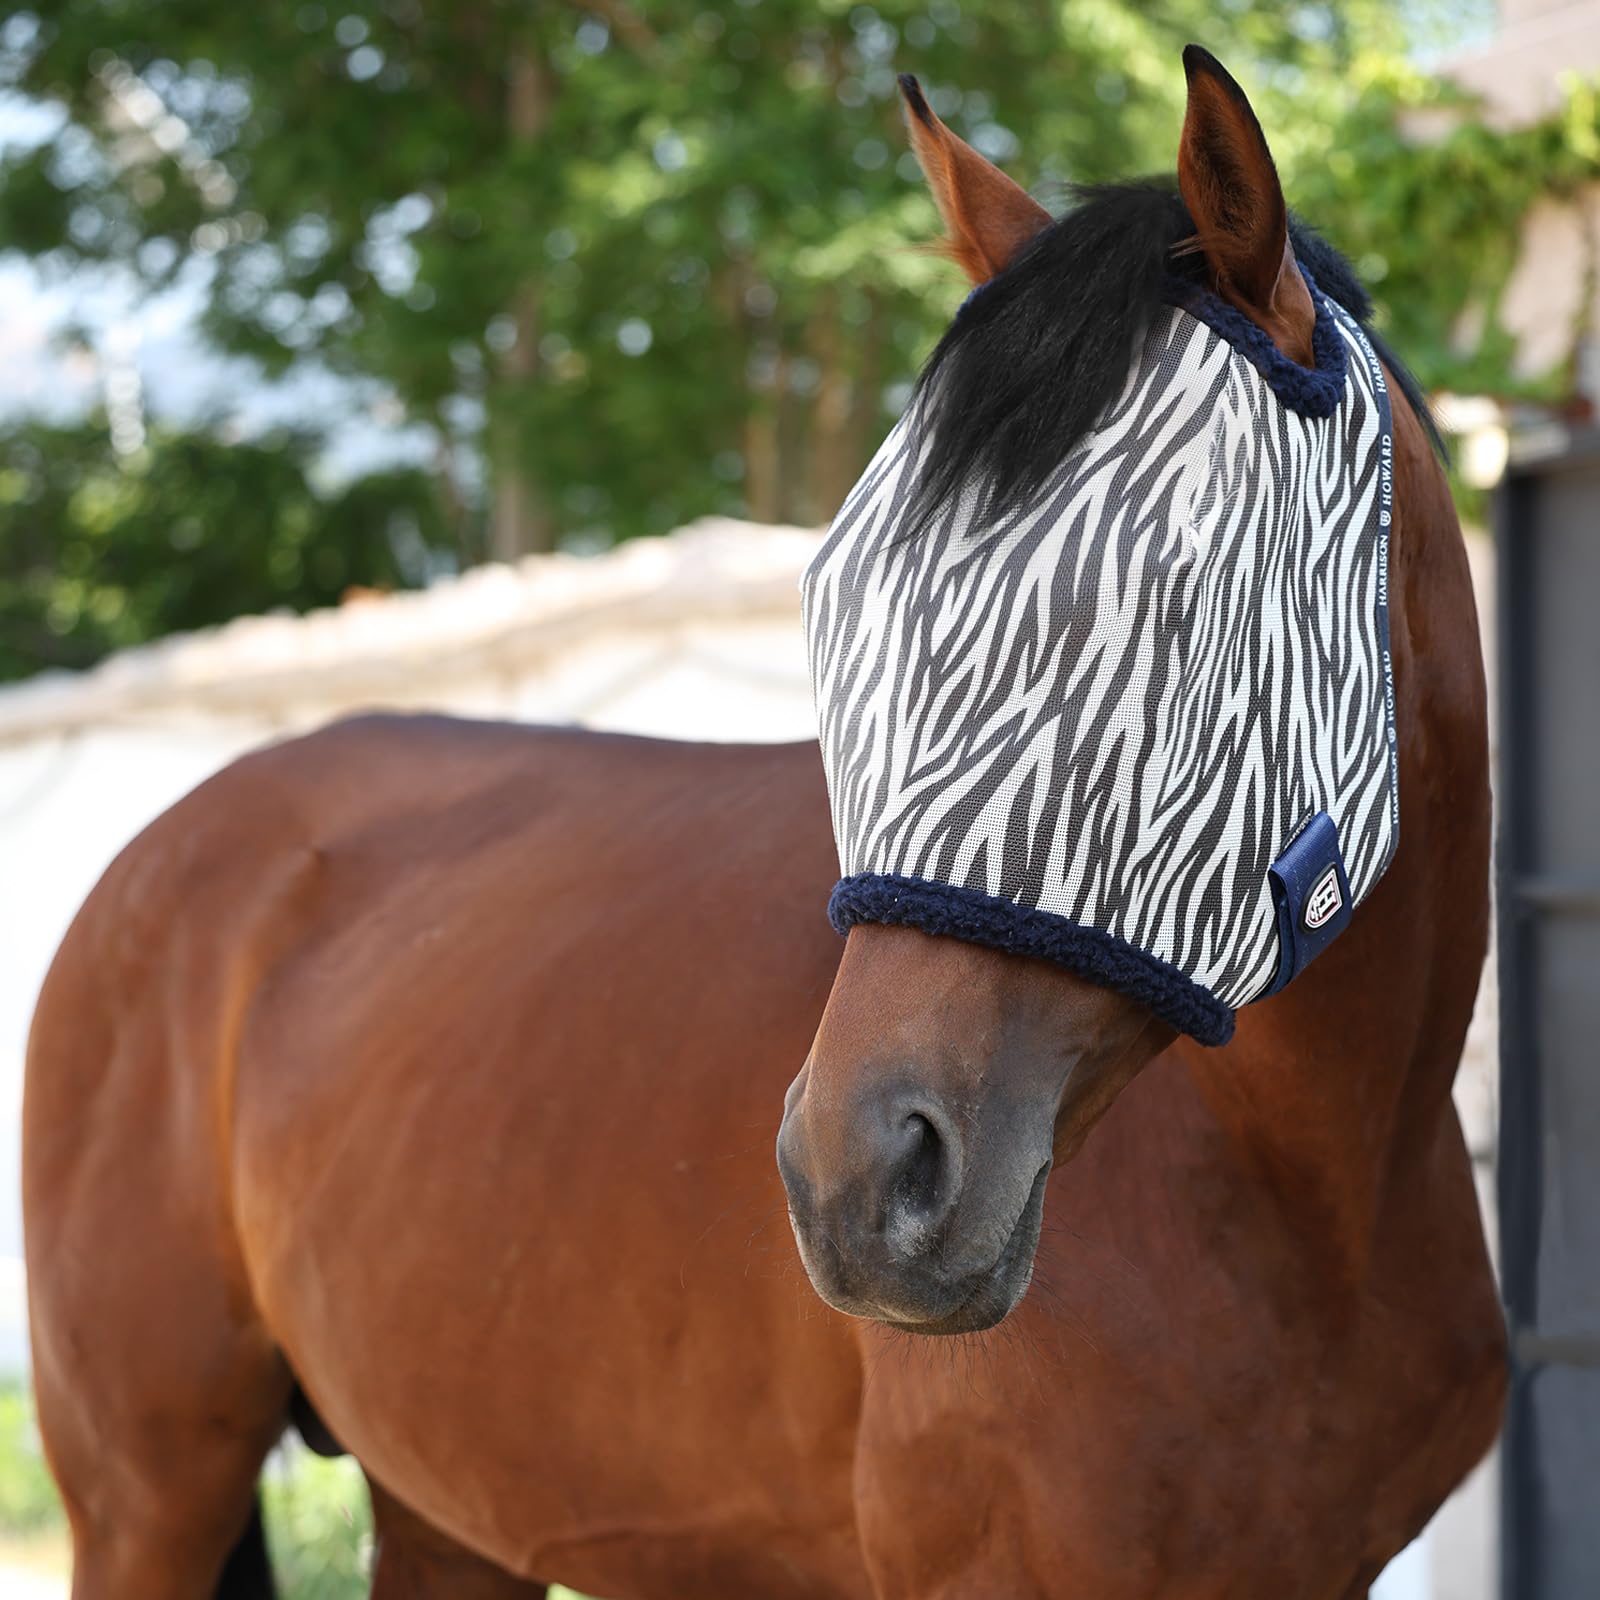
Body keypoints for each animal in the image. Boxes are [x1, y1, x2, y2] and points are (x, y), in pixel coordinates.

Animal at [24, 47, 1504, 1600]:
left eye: (1172, 600)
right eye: (838, 601)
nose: (853, 1185)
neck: (1326, 1199)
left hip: (446, 1504)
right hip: (145, 1495)